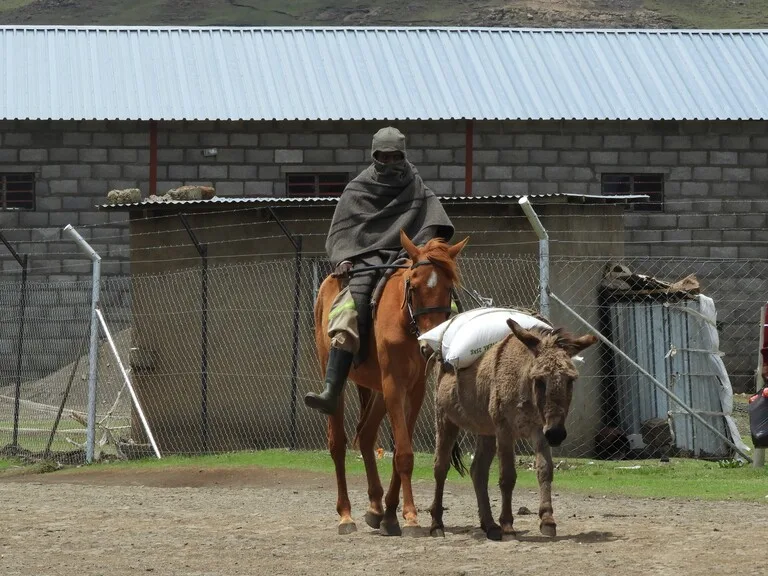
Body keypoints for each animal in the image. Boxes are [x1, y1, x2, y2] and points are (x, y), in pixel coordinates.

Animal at [312, 230, 468, 536]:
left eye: (448, 287)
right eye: (413, 287)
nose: (429, 347)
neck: (406, 325)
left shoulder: (414, 389)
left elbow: (399, 449)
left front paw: (392, 516)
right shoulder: (394, 384)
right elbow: (404, 453)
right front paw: (410, 518)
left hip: (379, 391)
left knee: (366, 434)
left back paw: (375, 508)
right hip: (339, 375)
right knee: (337, 444)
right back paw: (345, 516)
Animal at [428, 320, 596, 540]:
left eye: (571, 380)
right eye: (539, 380)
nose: (557, 434)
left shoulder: (539, 430)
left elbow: (545, 470)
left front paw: (547, 520)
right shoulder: (505, 430)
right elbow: (507, 476)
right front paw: (508, 526)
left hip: (486, 430)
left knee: (478, 471)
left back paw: (490, 526)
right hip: (445, 419)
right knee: (441, 468)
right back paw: (437, 524)